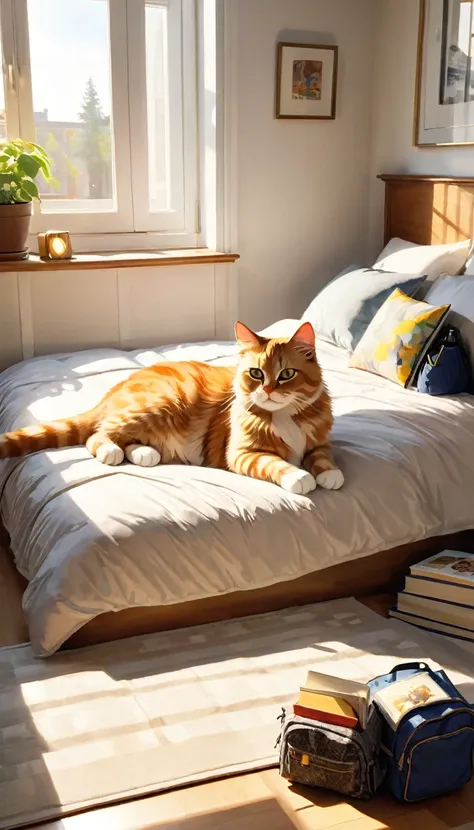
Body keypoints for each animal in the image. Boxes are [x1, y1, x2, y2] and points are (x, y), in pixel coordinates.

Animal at [0, 322, 342, 498]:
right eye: (256, 374)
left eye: (287, 374)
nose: (268, 391)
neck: (285, 416)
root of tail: (118, 387)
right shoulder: (243, 454)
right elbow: (275, 464)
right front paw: (299, 477)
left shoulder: (319, 442)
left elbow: (322, 457)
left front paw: (330, 474)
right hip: (157, 406)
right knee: (99, 435)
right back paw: (112, 451)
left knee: (129, 441)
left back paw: (144, 454)